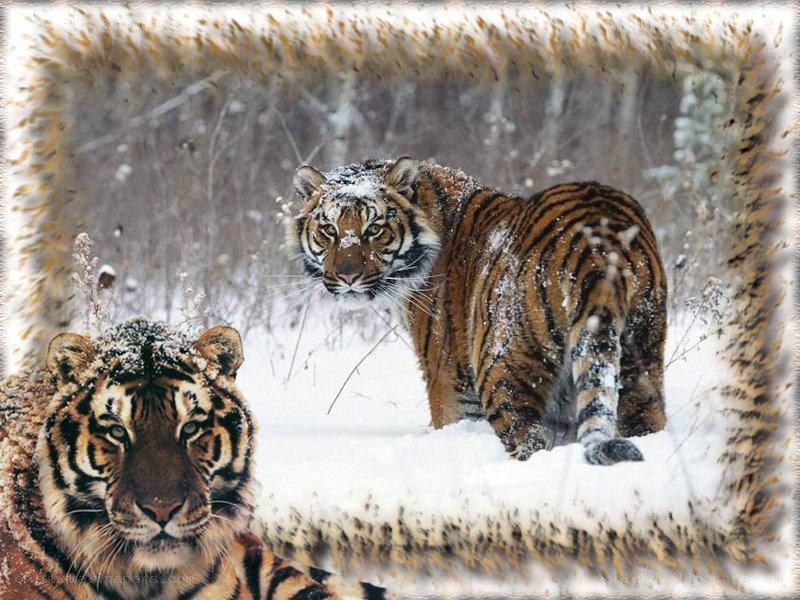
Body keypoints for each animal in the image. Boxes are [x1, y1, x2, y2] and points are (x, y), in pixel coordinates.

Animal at [288, 157, 667, 465]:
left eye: (374, 229)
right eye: (329, 230)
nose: (347, 276)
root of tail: (599, 243)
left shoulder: (450, 382)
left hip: (502, 368)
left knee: (528, 440)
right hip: (640, 361)